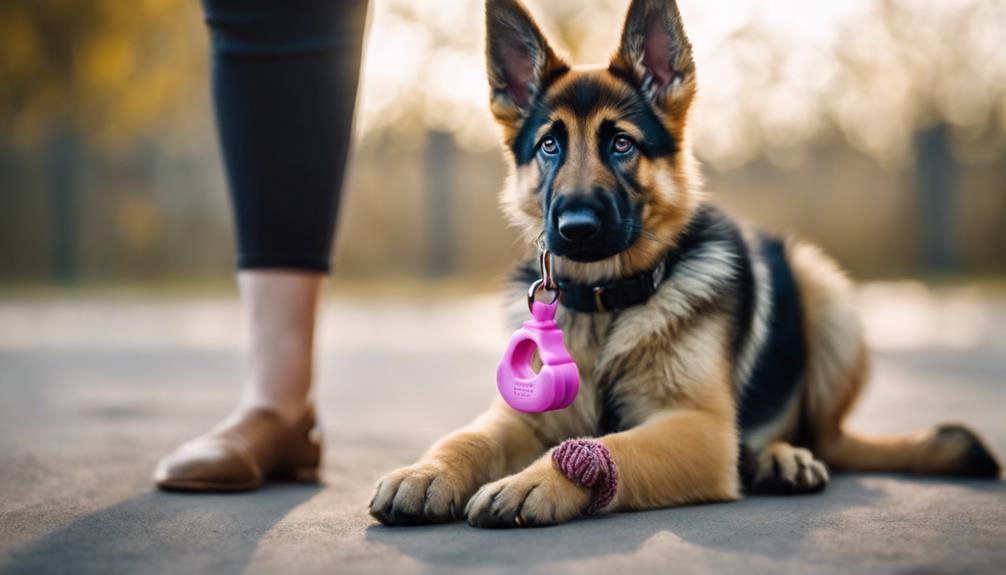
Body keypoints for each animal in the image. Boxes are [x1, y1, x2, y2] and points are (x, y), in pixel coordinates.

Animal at [368, 0, 997, 530]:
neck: (608, 305)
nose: (575, 229)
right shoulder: (523, 417)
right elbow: (467, 437)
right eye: (549, 145)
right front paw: (426, 472)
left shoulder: (700, 428)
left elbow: (611, 446)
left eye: (621, 144)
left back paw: (784, 457)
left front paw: (536, 481)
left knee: (827, 438)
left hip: (824, 289)